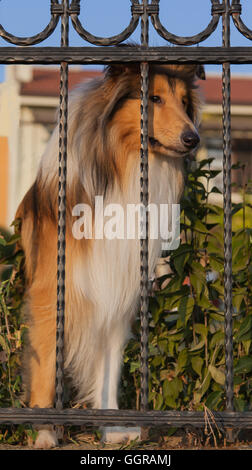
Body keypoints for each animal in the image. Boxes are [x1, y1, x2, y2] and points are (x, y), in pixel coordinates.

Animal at [15, 61, 205, 448]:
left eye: (183, 101)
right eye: (154, 98)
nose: (193, 138)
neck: (123, 168)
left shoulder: (117, 289)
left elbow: (109, 368)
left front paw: (112, 427)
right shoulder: (51, 293)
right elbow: (46, 367)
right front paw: (44, 431)